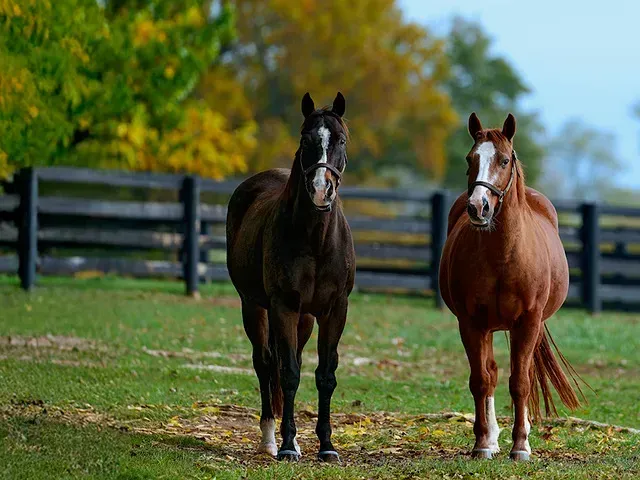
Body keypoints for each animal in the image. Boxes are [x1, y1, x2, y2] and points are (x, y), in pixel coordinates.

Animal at [226, 92, 355, 463]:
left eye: (340, 140)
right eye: (306, 139)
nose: (322, 190)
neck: (316, 240)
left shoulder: (334, 311)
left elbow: (325, 376)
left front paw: (326, 446)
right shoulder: (282, 306)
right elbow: (289, 373)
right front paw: (286, 446)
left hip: (305, 318)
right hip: (254, 307)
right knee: (266, 363)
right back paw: (270, 439)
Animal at [439, 112, 587, 461]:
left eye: (504, 160)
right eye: (470, 159)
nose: (478, 207)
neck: (504, 255)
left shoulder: (528, 322)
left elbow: (520, 382)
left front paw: (520, 446)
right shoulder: (471, 323)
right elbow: (481, 380)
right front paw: (483, 443)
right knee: (491, 373)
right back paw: (492, 438)